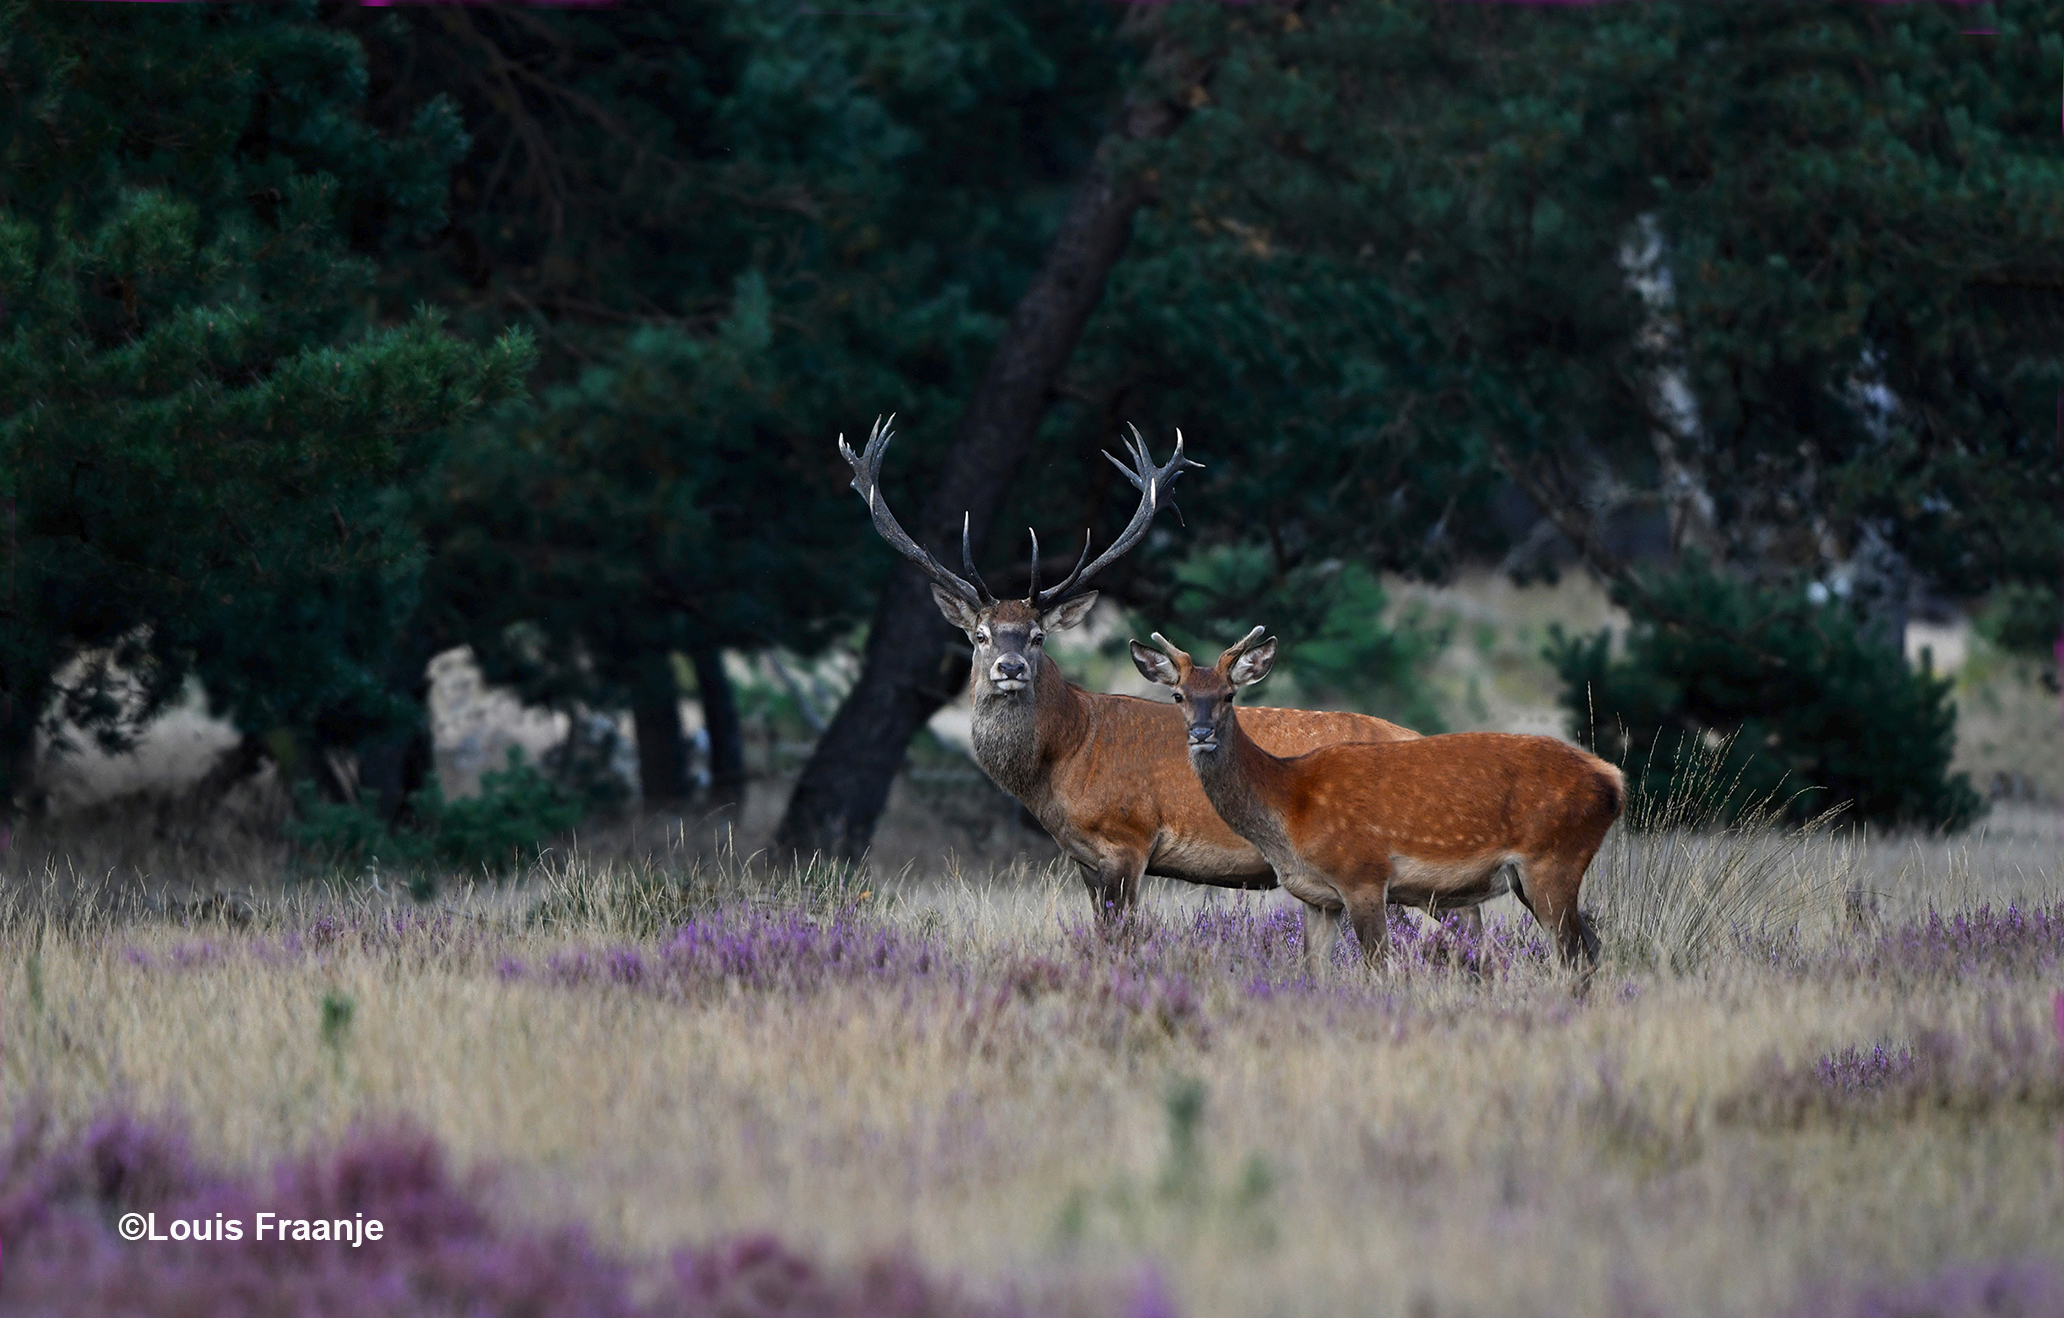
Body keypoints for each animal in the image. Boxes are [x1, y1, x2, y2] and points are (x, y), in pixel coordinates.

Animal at [837, 416, 1436, 924]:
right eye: (979, 635)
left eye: (1037, 636)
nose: (1009, 666)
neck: (1065, 760)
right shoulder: (1081, 856)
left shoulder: (1128, 837)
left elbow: (1122, 935)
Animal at [1139, 627, 1618, 981]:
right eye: (1179, 695)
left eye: (1229, 695)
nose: (1201, 733)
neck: (1290, 805)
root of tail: (1613, 781)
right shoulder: (1318, 897)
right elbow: (1314, 970)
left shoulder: (1363, 874)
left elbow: (1378, 967)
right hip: (1531, 876)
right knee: (1592, 945)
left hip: (1553, 859)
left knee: (1576, 956)